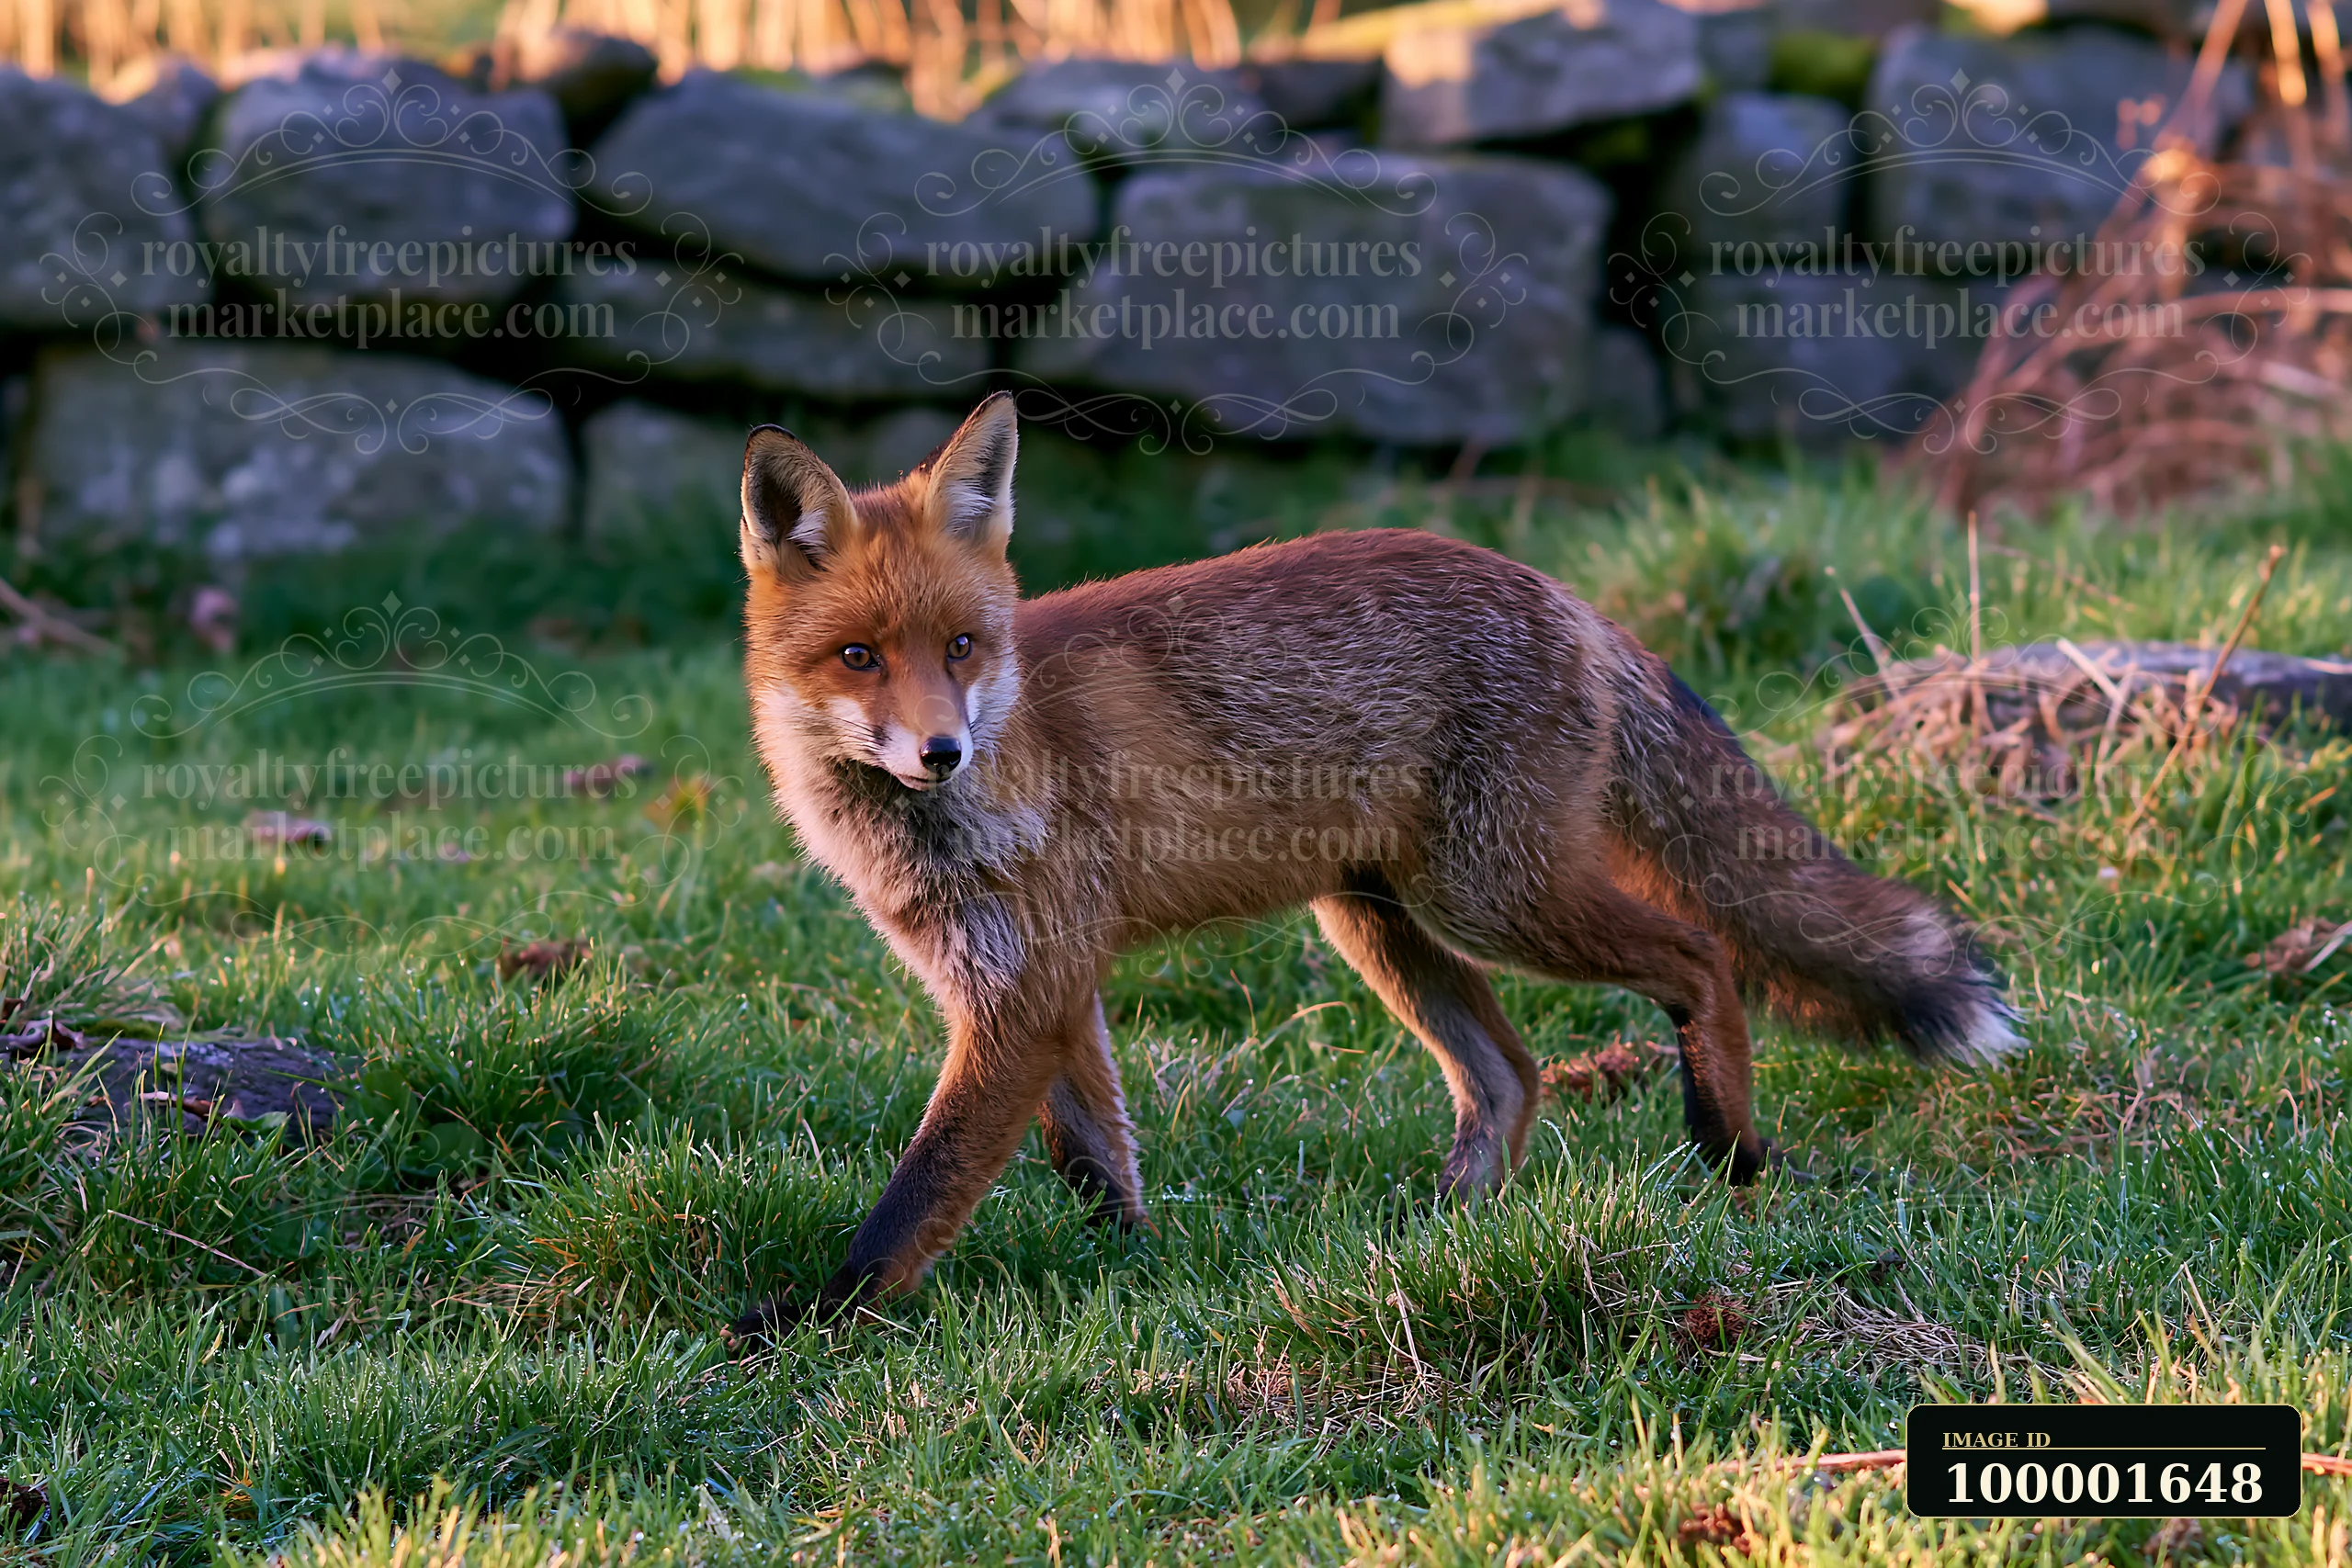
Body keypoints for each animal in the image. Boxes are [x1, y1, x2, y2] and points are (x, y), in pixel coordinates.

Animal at [729, 392, 2020, 1336]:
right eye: (858, 656)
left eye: (960, 646)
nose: (941, 751)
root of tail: (1562, 593)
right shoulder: (1038, 984)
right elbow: (1094, 1156)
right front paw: (1135, 1271)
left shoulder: (1019, 994)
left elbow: (923, 1189)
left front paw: (816, 1322)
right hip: (1378, 917)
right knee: (1510, 1073)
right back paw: (1444, 1234)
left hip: (1489, 896)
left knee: (1700, 954)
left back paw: (1727, 1156)